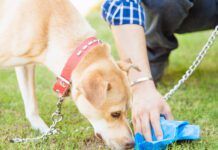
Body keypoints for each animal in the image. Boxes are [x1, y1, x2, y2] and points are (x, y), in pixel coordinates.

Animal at [0, 0, 135, 149]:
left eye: (128, 110)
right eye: (115, 114)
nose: (132, 143)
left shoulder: (26, 65)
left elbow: (31, 103)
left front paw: (43, 131)